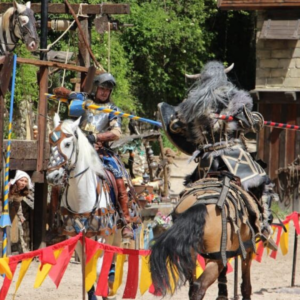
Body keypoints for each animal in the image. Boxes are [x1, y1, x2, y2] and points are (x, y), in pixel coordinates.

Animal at [46, 113, 120, 298]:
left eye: (67, 143)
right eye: (51, 143)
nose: (52, 176)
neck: (82, 199)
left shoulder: (101, 235)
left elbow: (99, 269)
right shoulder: (78, 237)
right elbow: (86, 271)